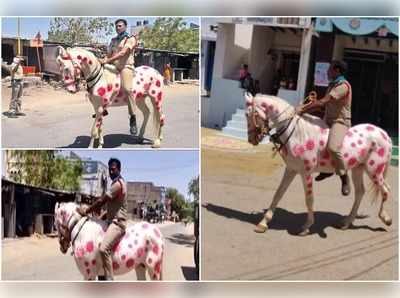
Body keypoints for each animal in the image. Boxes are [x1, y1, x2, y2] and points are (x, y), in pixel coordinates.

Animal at [245, 93, 392, 235]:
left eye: (248, 114)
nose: (251, 139)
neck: (297, 134)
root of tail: (384, 134)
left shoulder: (306, 173)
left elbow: (309, 198)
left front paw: (306, 227)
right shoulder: (291, 169)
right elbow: (278, 194)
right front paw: (263, 224)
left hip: (374, 170)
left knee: (385, 190)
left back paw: (386, 219)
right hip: (358, 169)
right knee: (360, 192)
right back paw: (346, 223)